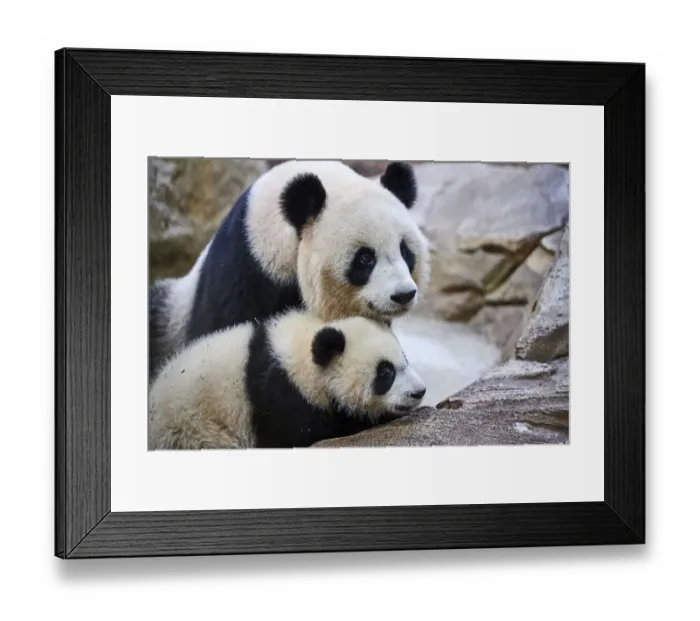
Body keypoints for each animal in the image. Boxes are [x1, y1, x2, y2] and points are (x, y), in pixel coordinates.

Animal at [147, 309, 428, 450]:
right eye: (385, 372)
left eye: (405, 358)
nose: (419, 391)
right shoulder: (279, 399)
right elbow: (302, 434)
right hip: (192, 432)